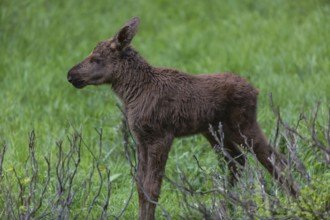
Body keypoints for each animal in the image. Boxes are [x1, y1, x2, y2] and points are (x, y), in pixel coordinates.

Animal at [68, 16, 298, 218]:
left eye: (96, 59)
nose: (71, 75)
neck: (132, 93)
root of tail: (256, 90)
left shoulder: (161, 135)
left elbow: (152, 188)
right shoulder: (141, 139)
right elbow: (140, 186)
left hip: (242, 125)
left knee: (276, 158)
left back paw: (294, 201)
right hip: (215, 132)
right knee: (239, 162)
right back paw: (227, 208)